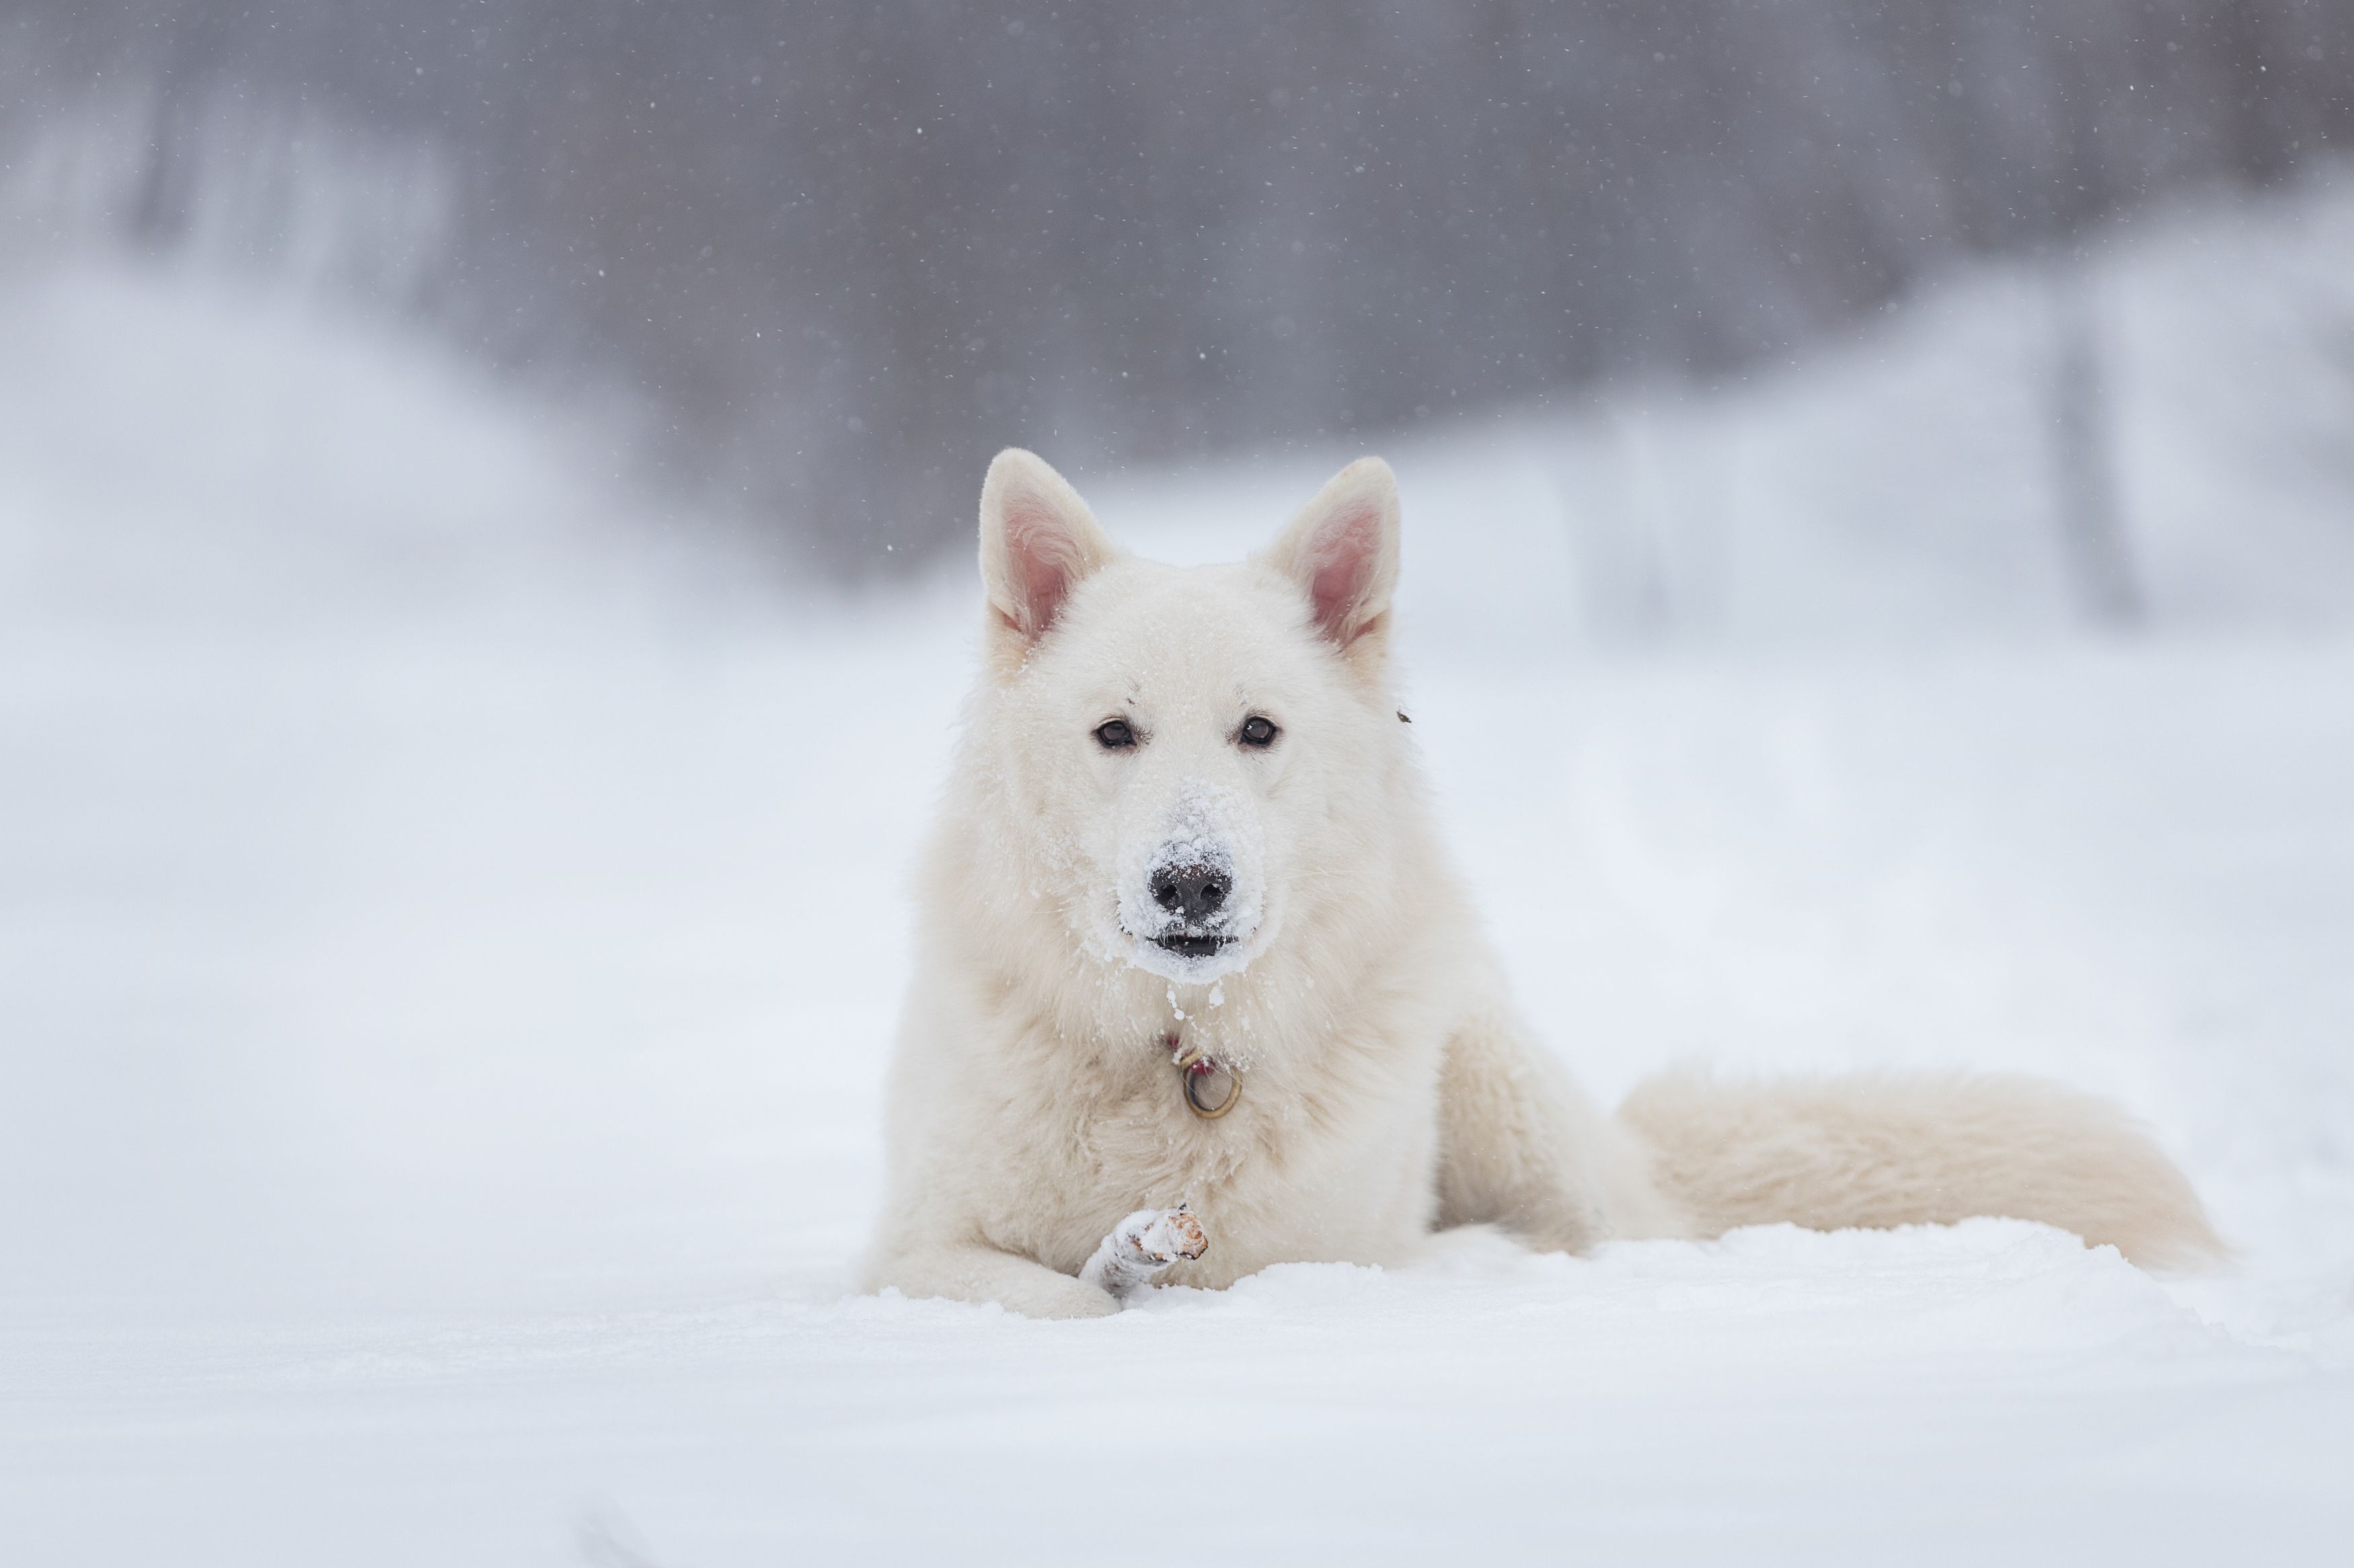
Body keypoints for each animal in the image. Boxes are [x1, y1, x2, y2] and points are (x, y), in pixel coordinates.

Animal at [866, 444, 2222, 1308]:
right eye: (1116, 733)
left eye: (1257, 731)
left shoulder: (1328, 1257)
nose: (1191, 884)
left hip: (1500, 1087)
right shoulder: (908, 1252)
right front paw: (1122, 1264)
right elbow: (1063, 1297)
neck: (1182, 1056)